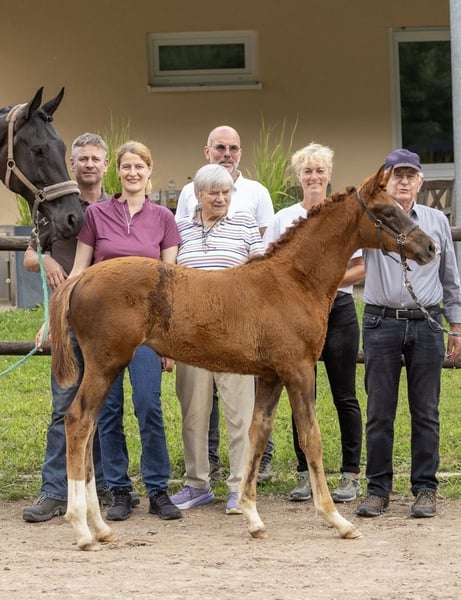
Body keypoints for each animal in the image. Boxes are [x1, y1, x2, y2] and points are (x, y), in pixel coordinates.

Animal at [50, 165, 436, 551]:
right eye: (387, 211)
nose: (429, 247)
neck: (294, 280)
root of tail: (82, 276)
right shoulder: (298, 370)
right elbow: (311, 438)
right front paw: (336, 519)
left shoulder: (270, 375)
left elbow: (257, 433)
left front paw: (252, 516)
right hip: (106, 365)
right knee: (78, 421)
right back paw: (81, 528)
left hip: (102, 368)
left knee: (88, 428)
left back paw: (101, 527)